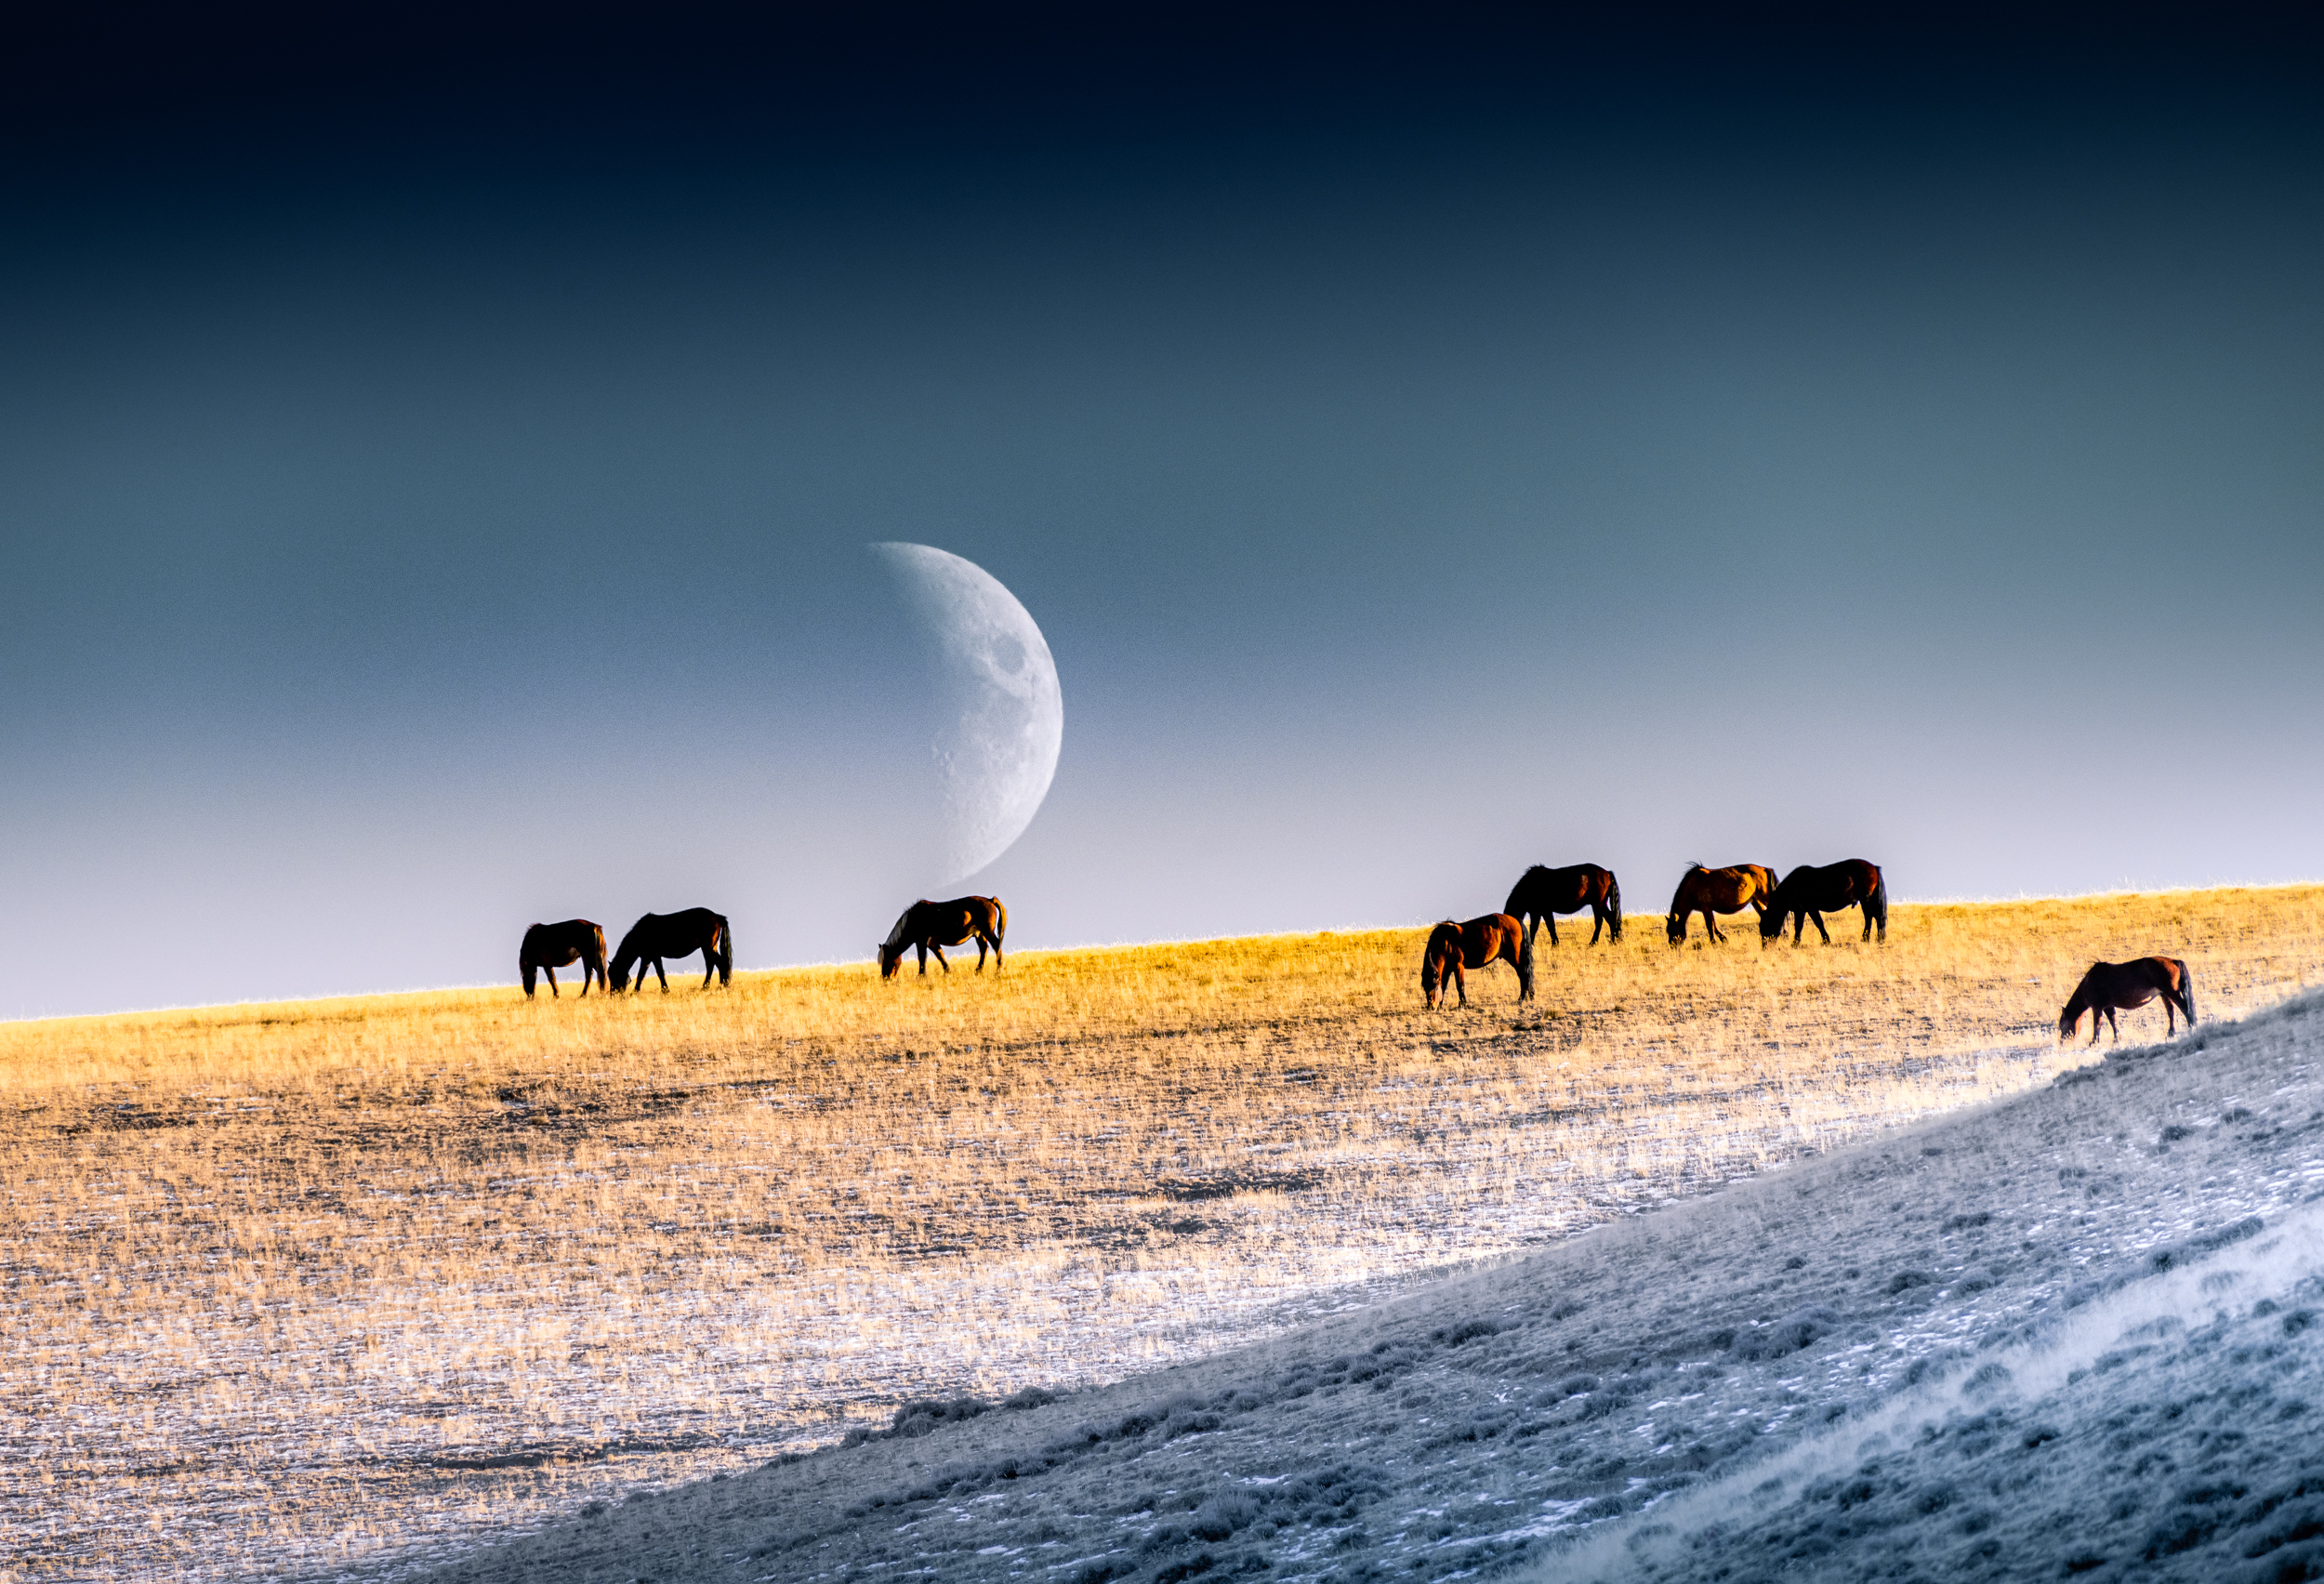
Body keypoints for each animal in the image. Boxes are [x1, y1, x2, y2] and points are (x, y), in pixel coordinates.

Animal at [610, 908, 732, 992]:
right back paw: (720, 985)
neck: (641, 933)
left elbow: (647, 974)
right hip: (710, 948)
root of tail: (718, 917)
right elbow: (653, 973)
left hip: (707, 948)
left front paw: (636, 992)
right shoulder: (651, 957)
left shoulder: (649, 957)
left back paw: (711, 986)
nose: (612, 994)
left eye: (614, 975)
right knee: (717, 964)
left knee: (714, 964)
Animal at [879, 896, 1007, 979]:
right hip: (979, 934)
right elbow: (940, 956)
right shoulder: (932, 943)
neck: (912, 919)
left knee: (996, 946)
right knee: (984, 949)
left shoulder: (921, 941)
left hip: (987, 931)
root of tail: (990, 900)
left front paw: (921, 976)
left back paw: (998, 970)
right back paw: (978, 971)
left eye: (886, 960)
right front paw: (947, 972)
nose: (885, 978)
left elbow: (922, 958)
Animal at [1503, 864, 1622, 947]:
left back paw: (1593, 943)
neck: (1530, 885)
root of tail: (1607, 873)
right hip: (1601, 904)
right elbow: (1539, 927)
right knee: (1611, 919)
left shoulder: (1542, 912)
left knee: (1599, 921)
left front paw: (1553, 944)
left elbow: (1546, 927)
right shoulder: (1538, 912)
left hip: (1597, 904)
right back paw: (1613, 941)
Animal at [1759, 860, 1888, 945]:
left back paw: (1870, 939)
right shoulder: (1811, 909)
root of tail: (1874, 867)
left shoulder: (1803, 910)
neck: (1793, 886)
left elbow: (1802, 926)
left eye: (1764, 925)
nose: (1764, 947)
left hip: (1866, 900)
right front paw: (1826, 940)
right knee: (1876, 917)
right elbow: (1819, 924)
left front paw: (1795, 943)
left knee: (1871, 918)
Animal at [2059, 958, 2196, 1045]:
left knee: (2185, 1008)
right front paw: (2116, 1039)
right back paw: (2171, 1033)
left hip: (2172, 992)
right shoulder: (2108, 1006)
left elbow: (2097, 1024)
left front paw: (2093, 1042)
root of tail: (2173, 961)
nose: (2062, 1042)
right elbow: (2113, 1022)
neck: (2089, 982)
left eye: (2063, 1026)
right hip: (2165, 995)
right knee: (2171, 1012)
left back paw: (2191, 1027)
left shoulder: (2097, 1007)